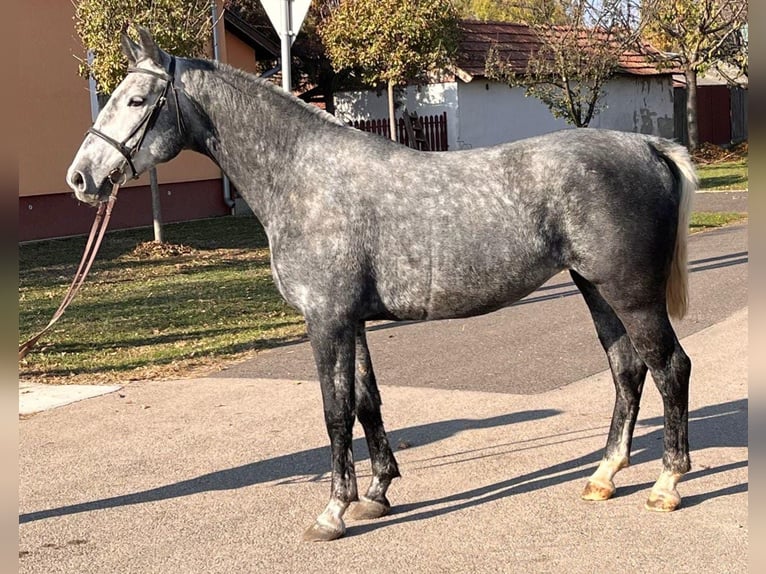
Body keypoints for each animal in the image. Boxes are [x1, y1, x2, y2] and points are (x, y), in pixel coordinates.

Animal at [69, 28, 700, 544]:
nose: (80, 177)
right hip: (595, 289)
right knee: (627, 371)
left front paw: (333, 512)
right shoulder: (352, 321)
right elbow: (367, 402)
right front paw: (376, 493)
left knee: (670, 367)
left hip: (631, 295)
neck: (303, 176)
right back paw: (604, 475)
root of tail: (649, 146)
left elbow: (334, 411)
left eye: (136, 100)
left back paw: (666, 484)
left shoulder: (326, 320)